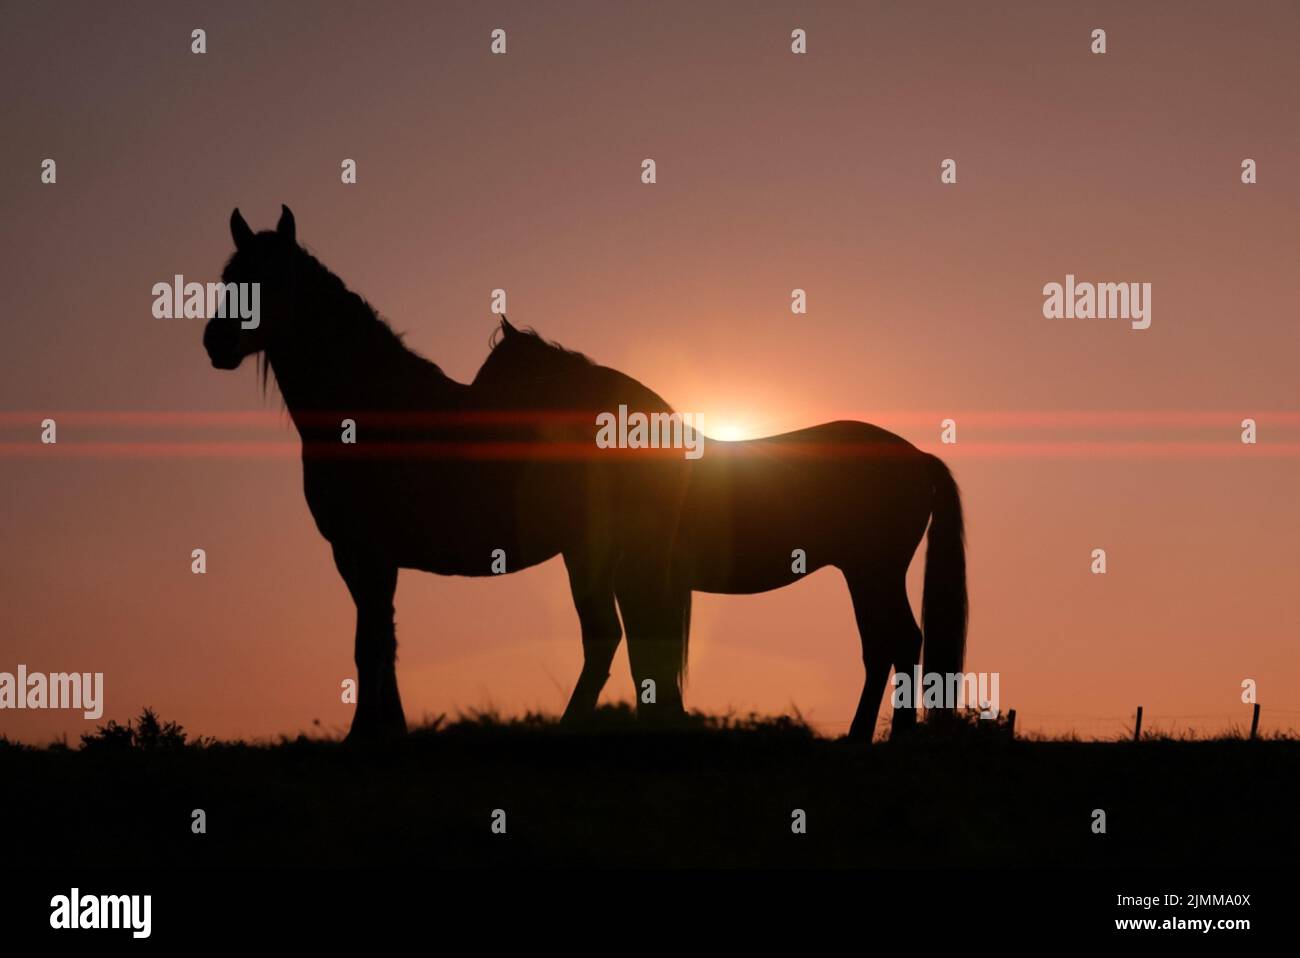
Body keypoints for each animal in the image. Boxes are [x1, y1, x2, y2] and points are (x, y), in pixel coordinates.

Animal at [203, 205, 968, 741]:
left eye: (271, 279)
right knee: (886, 646)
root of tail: (916, 456)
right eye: (227, 277)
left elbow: (372, 646)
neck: (381, 410)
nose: (216, 342)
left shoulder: (364, 553)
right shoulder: (373, 558)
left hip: (865, 568)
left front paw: (371, 736)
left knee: (895, 643)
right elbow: (379, 642)